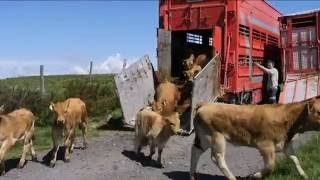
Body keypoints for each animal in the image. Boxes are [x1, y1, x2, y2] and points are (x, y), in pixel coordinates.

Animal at [190, 98, 320, 180]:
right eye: (319, 111)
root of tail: (206, 104)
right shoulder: (265, 145)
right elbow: (270, 165)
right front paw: (255, 175)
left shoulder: (285, 144)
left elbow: (295, 159)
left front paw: (304, 175)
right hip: (215, 137)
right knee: (218, 159)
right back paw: (232, 178)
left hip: (203, 138)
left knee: (195, 151)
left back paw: (192, 176)